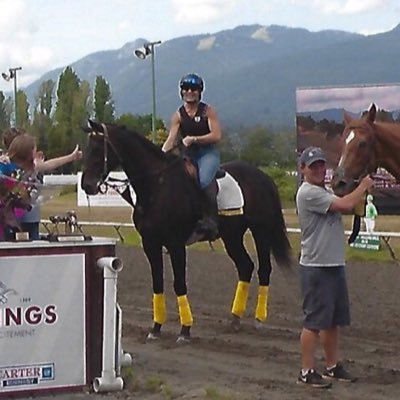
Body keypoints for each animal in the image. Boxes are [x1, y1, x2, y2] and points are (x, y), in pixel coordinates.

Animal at [80, 121, 290, 340]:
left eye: (97, 148)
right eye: (87, 148)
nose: (87, 185)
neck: (157, 186)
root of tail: (263, 177)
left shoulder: (176, 244)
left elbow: (179, 283)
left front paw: (185, 329)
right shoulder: (150, 243)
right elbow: (158, 282)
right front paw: (156, 328)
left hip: (261, 232)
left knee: (264, 269)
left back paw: (258, 319)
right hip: (232, 236)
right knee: (245, 266)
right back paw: (235, 319)